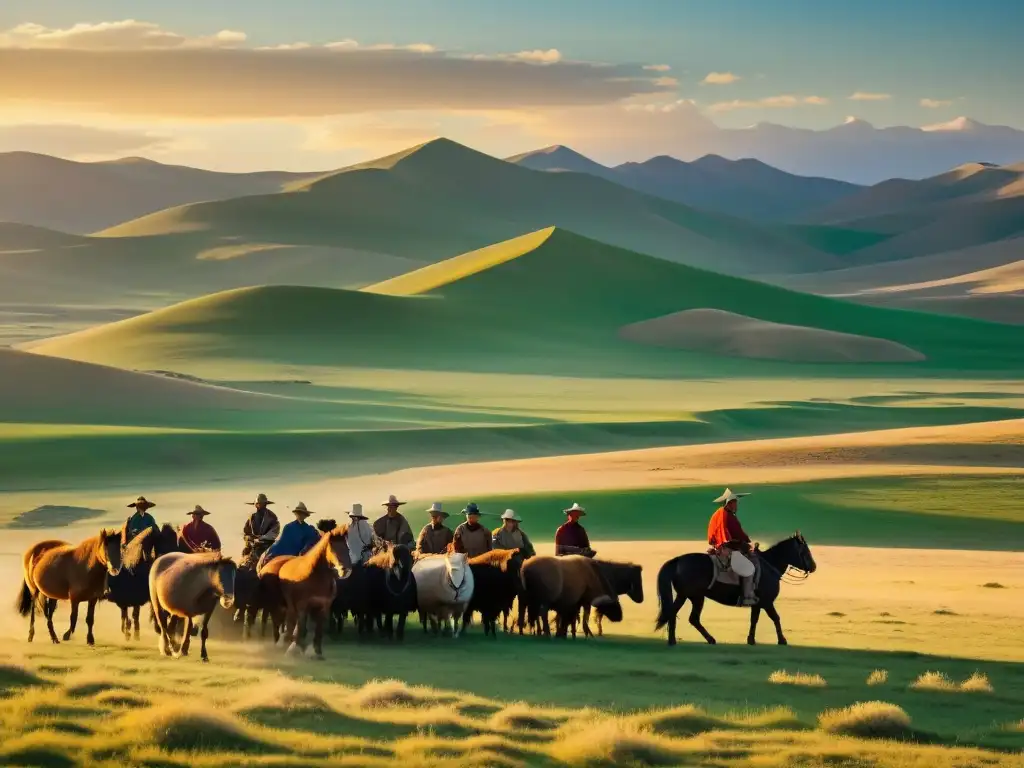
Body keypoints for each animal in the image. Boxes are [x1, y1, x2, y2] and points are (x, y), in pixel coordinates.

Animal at [264, 528, 352, 663]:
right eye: (332, 548)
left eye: (347, 548)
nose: (345, 570)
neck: (315, 576)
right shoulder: (302, 606)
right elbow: (301, 629)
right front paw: (294, 651)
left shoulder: (323, 608)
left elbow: (318, 631)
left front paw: (317, 653)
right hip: (277, 604)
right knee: (278, 623)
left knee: (289, 623)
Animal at [655, 536, 815, 651]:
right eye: (805, 551)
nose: (814, 567)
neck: (769, 566)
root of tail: (678, 560)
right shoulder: (767, 602)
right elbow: (775, 618)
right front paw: (782, 640)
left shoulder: (757, 603)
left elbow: (754, 620)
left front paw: (751, 640)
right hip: (693, 597)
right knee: (686, 616)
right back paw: (689, 640)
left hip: (689, 596)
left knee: (683, 616)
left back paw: (688, 640)